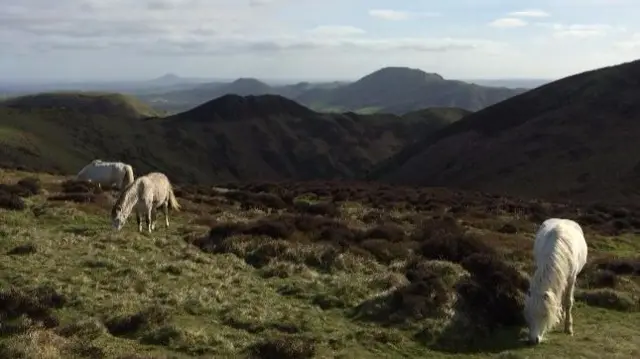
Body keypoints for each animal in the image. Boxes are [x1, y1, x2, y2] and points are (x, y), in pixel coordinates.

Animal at [524, 218, 588, 348]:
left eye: (544, 315)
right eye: (528, 314)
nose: (533, 340)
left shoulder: (572, 278)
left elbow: (568, 302)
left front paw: (568, 328)